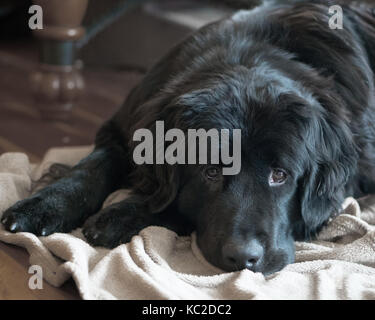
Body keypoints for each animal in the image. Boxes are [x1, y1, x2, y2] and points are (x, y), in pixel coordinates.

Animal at [2, 0, 375, 276]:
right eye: (210, 172)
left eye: (280, 175)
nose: (244, 257)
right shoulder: (124, 128)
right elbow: (91, 167)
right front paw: (43, 205)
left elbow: (176, 204)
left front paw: (118, 216)